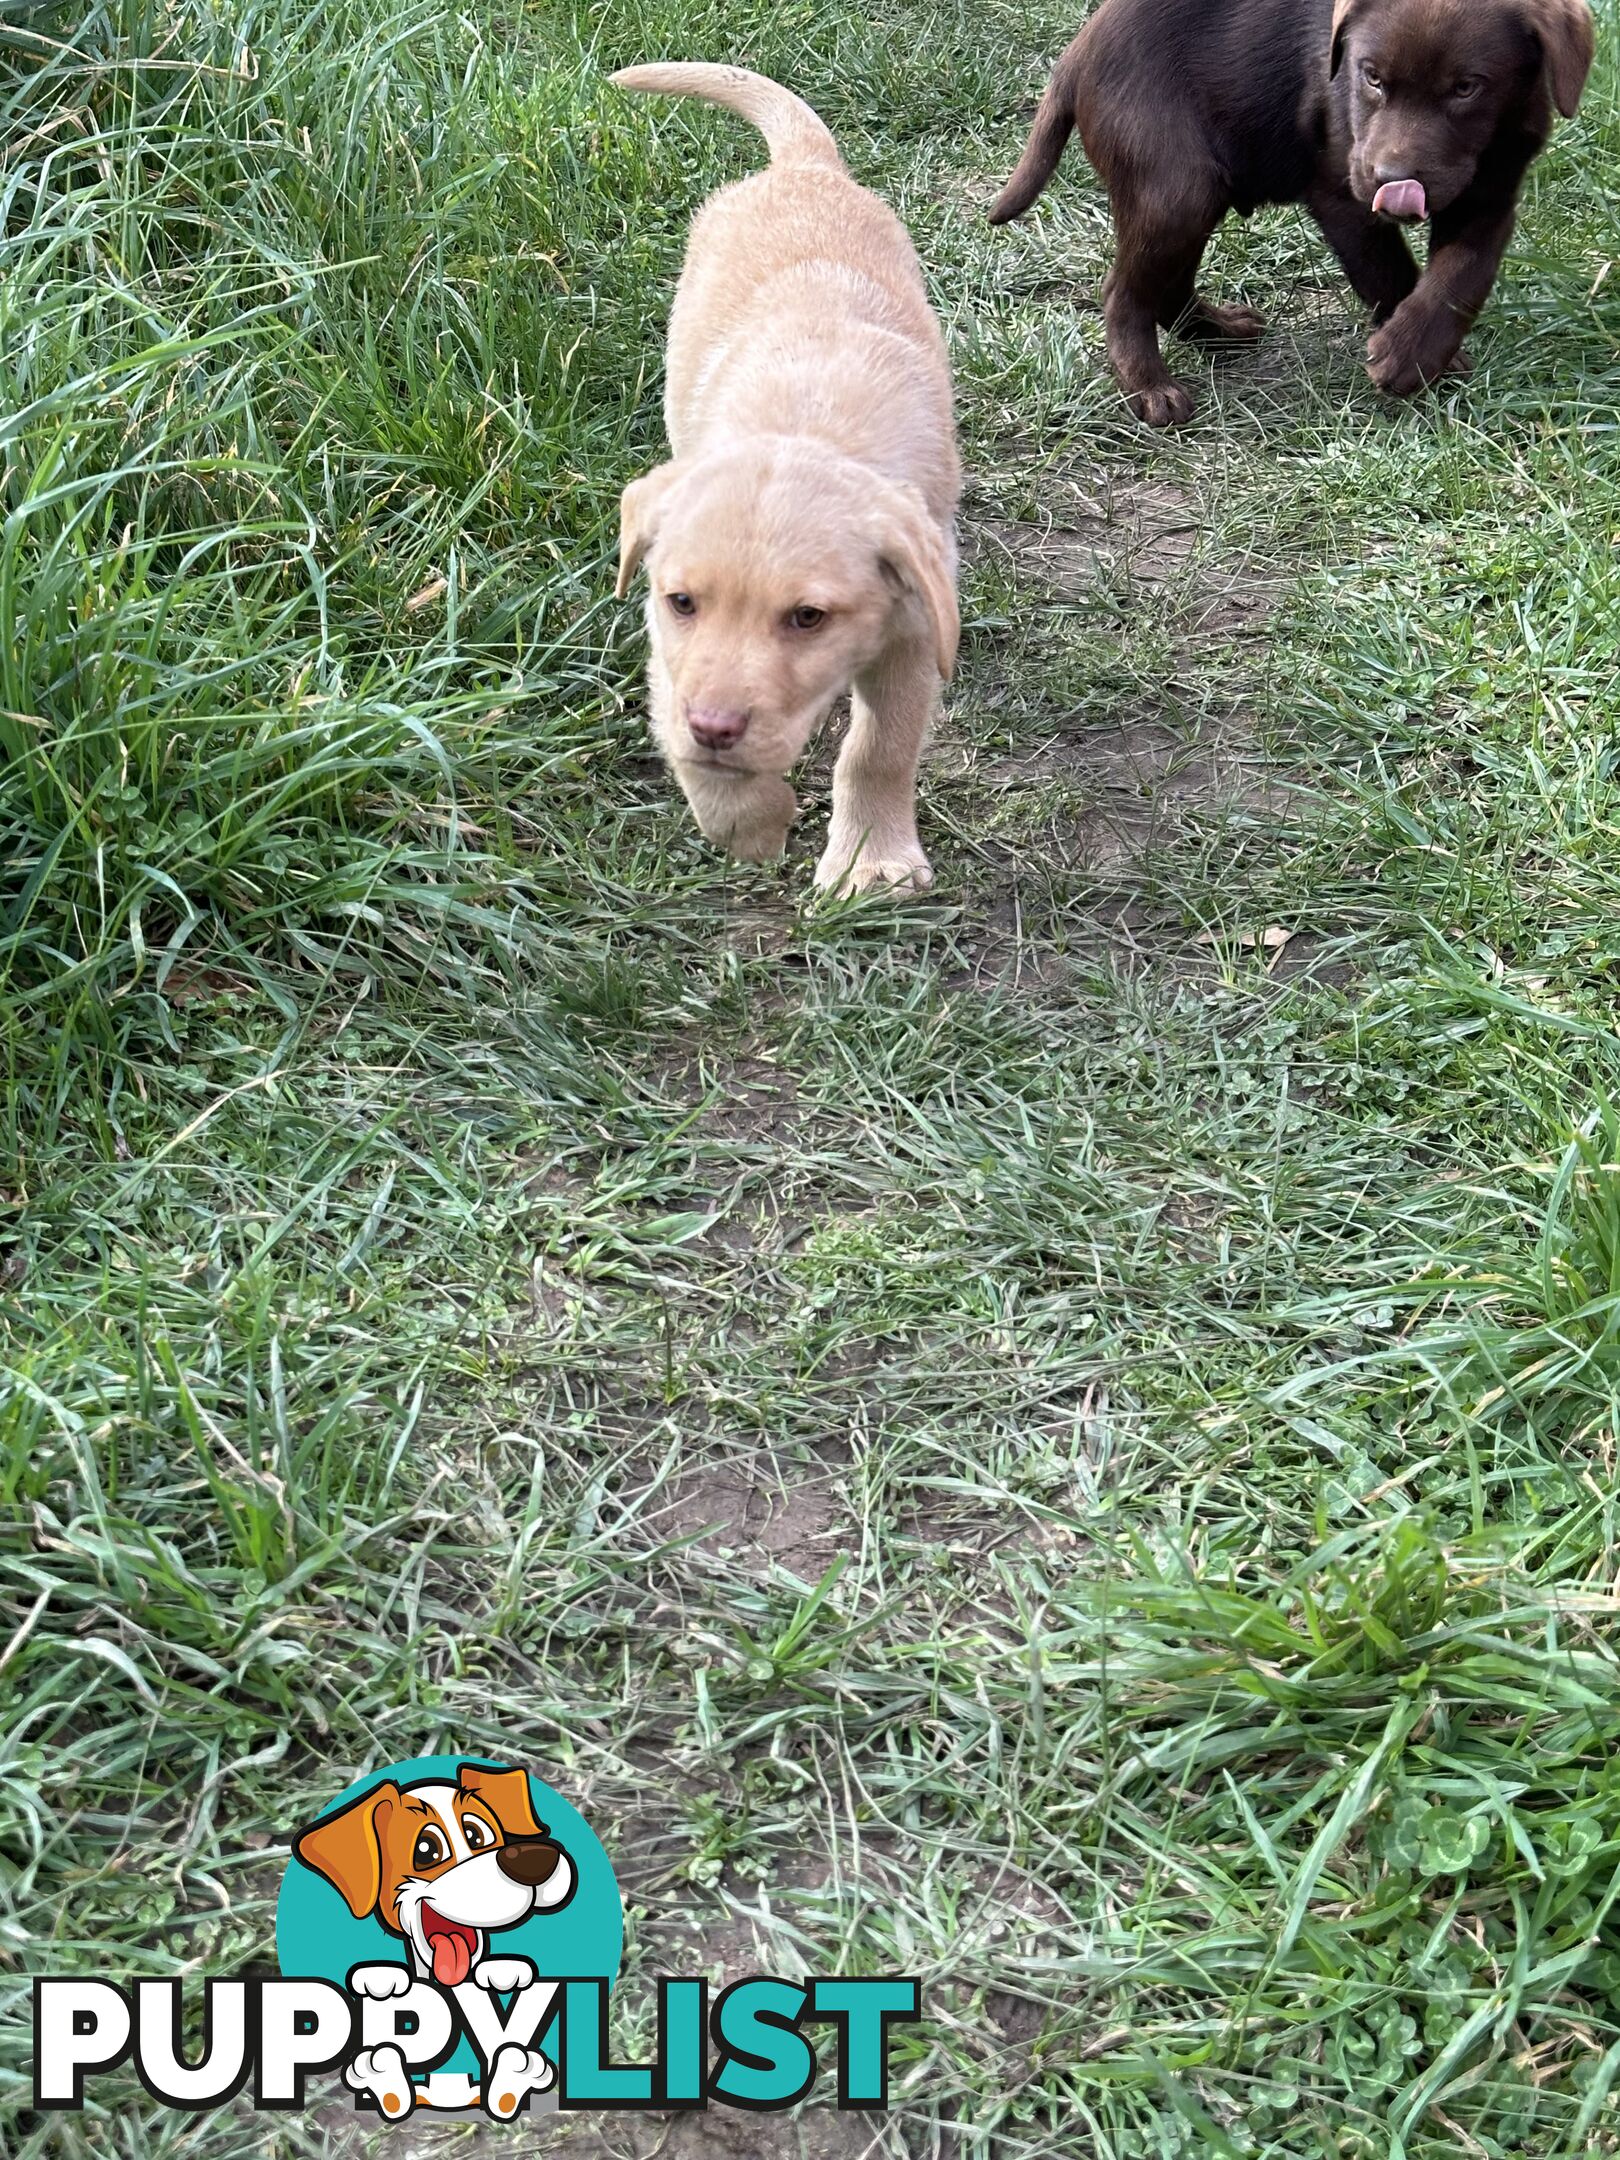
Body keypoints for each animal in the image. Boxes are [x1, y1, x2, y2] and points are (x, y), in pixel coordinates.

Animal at [613, 65, 959, 894]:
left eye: (808, 618)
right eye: (682, 602)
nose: (716, 727)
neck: (808, 424)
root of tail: (801, 168)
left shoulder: (914, 629)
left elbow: (878, 750)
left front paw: (872, 859)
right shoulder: (668, 651)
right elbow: (687, 738)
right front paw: (750, 822)